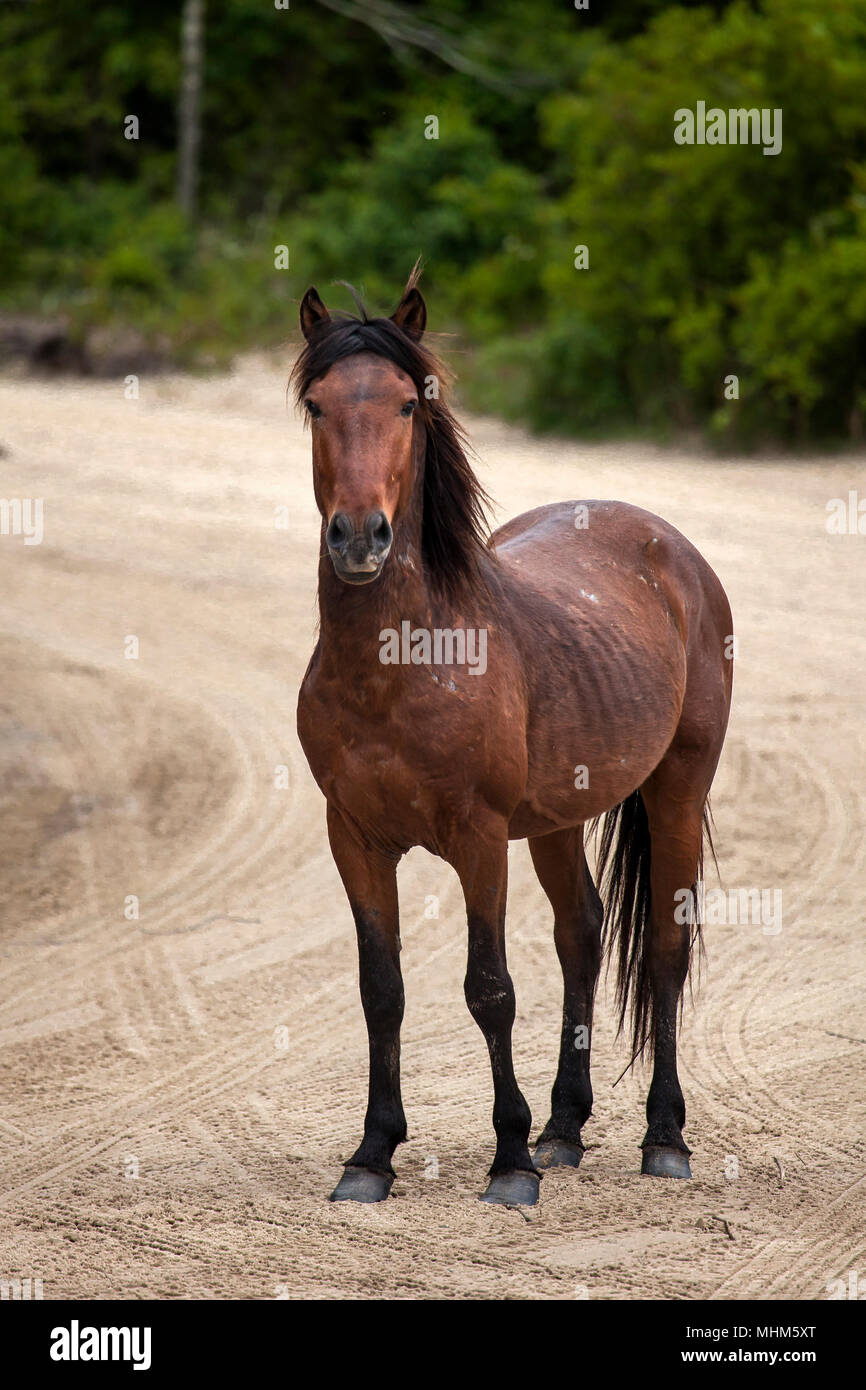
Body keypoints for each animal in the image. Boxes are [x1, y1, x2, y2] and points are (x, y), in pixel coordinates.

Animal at [293, 271, 733, 1206]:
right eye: (317, 404)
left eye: (408, 403)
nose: (359, 536)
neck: (402, 659)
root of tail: (670, 549)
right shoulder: (354, 837)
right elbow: (381, 991)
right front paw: (372, 1155)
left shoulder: (479, 837)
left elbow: (489, 989)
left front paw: (508, 1162)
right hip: (558, 822)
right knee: (583, 935)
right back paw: (565, 1130)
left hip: (678, 788)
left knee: (665, 950)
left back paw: (663, 1138)